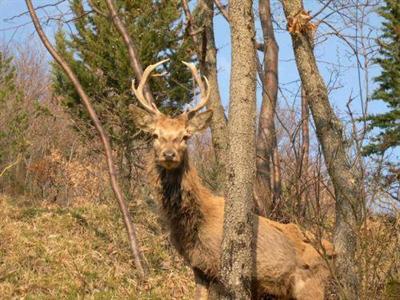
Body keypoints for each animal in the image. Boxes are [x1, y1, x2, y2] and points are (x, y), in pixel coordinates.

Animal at [130, 59, 334, 300]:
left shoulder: (220, 267)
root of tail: (333, 251)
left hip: (312, 284)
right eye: (155, 135)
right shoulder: (198, 267)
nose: (169, 154)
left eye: (185, 136)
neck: (194, 224)